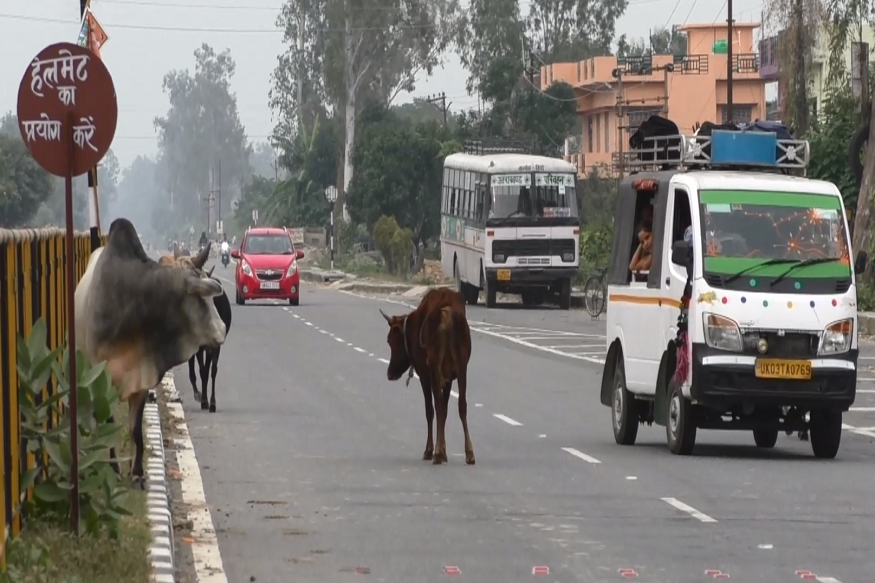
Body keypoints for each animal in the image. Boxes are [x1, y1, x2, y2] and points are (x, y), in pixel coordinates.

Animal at [382, 290, 476, 468]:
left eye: (390, 340)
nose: (389, 373)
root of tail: (446, 313)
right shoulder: (448, 378)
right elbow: (445, 409)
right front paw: (444, 450)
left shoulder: (424, 374)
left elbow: (430, 410)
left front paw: (431, 450)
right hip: (462, 366)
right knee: (462, 405)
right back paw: (469, 453)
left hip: (434, 367)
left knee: (437, 406)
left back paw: (437, 454)